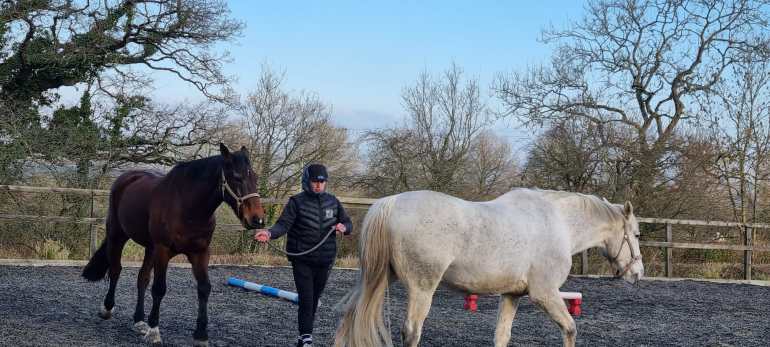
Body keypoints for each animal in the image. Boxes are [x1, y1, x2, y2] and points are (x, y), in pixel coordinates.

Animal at [82, 143, 264, 346]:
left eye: (255, 177)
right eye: (236, 177)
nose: (257, 219)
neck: (188, 207)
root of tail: (126, 177)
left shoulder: (200, 252)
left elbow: (204, 288)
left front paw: (201, 334)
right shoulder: (163, 250)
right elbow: (159, 288)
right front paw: (154, 331)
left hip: (149, 248)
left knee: (142, 278)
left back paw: (139, 321)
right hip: (118, 235)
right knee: (115, 271)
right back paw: (107, 308)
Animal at [334, 189, 640, 347]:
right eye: (636, 234)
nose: (637, 274)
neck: (558, 224)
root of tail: (391, 202)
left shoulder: (512, 295)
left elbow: (502, 336)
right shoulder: (545, 294)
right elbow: (570, 329)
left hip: (380, 277)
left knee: (351, 315)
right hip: (422, 288)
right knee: (411, 332)